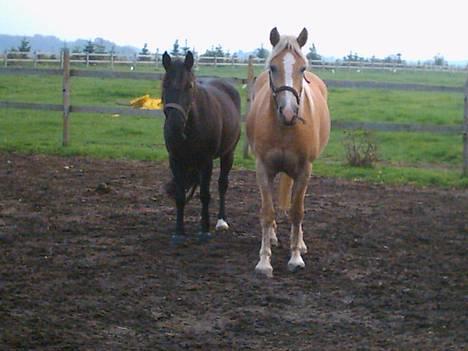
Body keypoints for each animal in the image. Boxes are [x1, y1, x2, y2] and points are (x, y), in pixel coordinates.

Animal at [162, 51, 241, 245]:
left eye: (189, 86)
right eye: (165, 84)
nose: (174, 126)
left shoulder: (206, 161)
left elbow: (205, 195)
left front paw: (204, 231)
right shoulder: (175, 160)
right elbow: (180, 196)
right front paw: (179, 232)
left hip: (228, 154)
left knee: (222, 185)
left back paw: (221, 221)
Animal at [247, 28, 330, 278]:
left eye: (302, 68)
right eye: (273, 67)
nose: (289, 112)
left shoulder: (304, 170)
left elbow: (297, 212)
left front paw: (295, 258)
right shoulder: (263, 169)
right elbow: (267, 212)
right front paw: (264, 262)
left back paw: (299, 243)